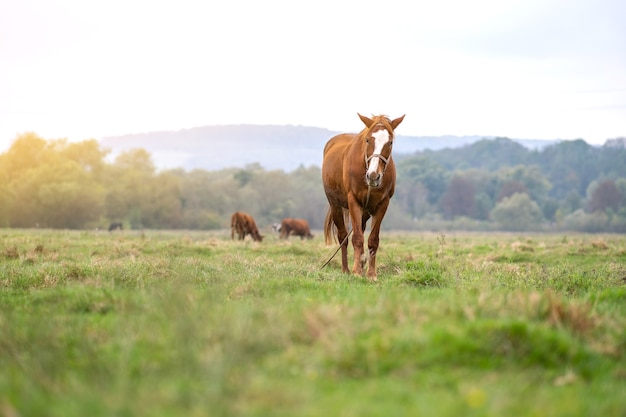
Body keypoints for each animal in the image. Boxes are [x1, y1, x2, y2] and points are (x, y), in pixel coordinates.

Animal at [322, 113, 404, 280]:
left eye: (390, 142)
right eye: (368, 140)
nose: (373, 176)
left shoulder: (383, 204)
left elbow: (373, 239)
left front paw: (371, 273)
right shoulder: (353, 201)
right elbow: (357, 237)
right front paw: (356, 272)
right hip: (335, 205)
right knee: (343, 236)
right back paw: (346, 269)